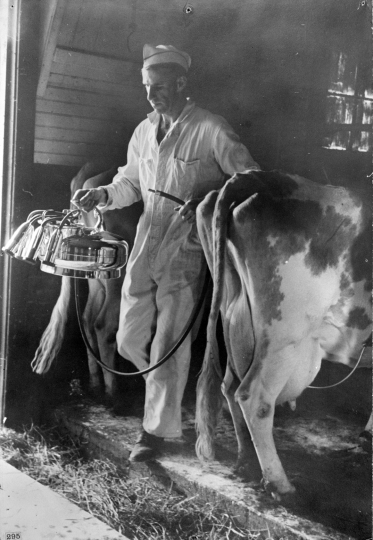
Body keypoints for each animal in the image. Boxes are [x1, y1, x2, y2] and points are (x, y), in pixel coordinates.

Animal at [30, 162, 142, 402]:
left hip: (96, 277)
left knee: (89, 319)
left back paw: (95, 382)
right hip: (119, 279)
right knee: (104, 324)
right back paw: (112, 391)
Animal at [196, 171, 370, 500]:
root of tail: (252, 178)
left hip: (235, 318)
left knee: (229, 385)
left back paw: (248, 462)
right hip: (284, 336)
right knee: (254, 398)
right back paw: (280, 484)